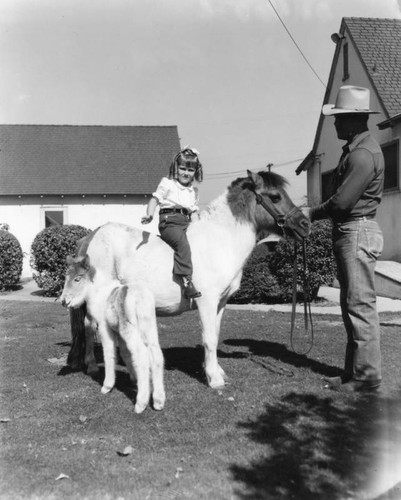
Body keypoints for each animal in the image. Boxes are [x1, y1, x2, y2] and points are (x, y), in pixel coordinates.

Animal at [59, 254, 166, 414]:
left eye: (77, 279)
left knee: (142, 355)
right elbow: (125, 353)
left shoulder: (105, 327)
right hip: (149, 329)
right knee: (156, 355)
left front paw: (107, 386)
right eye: (66, 278)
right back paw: (158, 400)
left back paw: (141, 403)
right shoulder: (118, 331)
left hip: (130, 330)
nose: (64, 301)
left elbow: (109, 353)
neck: (99, 293)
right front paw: (134, 378)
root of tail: (139, 296)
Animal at [65, 170, 310, 388]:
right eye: (275, 196)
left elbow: (215, 335)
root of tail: (90, 237)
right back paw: (93, 366)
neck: (220, 240)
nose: (305, 225)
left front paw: (216, 371)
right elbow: (209, 338)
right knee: (90, 326)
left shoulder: (220, 303)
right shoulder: (207, 301)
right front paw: (214, 379)